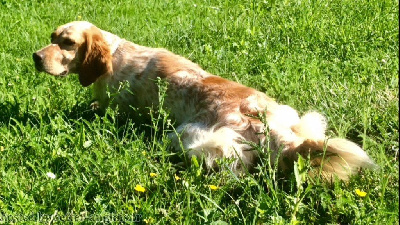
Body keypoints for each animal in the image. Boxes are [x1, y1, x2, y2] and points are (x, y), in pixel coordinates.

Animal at [33, 21, 376, 181]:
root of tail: (271, 132)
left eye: (67, 43)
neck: (115, 55)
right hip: (301, 119)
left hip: (187, 137)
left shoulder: (113, 107)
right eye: (52, 37)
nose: (35, 57)